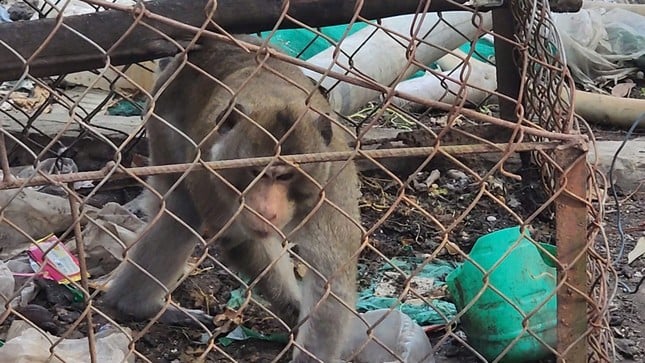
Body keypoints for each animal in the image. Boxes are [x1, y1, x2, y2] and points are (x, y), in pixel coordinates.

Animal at [103, 34, 360, 363]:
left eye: (285, 176)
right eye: (255, 171)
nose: (265, 210)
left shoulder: (330, 183)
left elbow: (331, 276)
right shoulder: (212, 177)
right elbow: (242, 242)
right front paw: (293, 310)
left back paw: (134, 304)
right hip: (164, 123)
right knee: (181, 212)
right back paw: (137, 305)